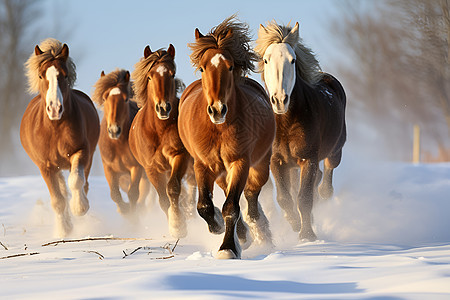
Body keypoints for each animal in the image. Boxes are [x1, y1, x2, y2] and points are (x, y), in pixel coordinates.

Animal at [20, 38, 99, 238]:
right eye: (41, 76)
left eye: (65, 75)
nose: (55, 108)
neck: (54, 129)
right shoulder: (45, 166)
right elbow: (58, 200)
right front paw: (63, 231)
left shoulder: (80, 152)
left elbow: (76, 181)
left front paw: (80, 208)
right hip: (56, 167)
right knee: (63, 191)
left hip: (86, 158)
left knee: (83, 184)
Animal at [92, 68, 149, 216]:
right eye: (105, 98)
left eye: (125, 99)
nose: (114, 130)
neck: (117, 146)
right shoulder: (109, 169)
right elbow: (115, 195)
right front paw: (124, 211)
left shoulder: (136, 168)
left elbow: (133, 194)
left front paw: (133, 217)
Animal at [127, 43, 192, 238]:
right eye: (149, 76)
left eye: (172, 74)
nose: (163, 108)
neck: (159, 131)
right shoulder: (151, 169)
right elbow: (163, 199)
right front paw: (175, 224)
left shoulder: (179, 157)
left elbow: (173, 188)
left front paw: (178, 225)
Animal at [178, 15, 276, 258]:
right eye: (202, 68)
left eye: (230, 67)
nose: (217, 110)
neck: (218, 130)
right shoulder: (202, 165)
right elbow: (204, 206)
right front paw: (219, 227)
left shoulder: (240, 162)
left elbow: (231, 207)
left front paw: (228, 248)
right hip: (221, 172)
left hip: (259, 165)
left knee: (250, 196)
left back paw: (255, 226)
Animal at [255, 21, 346, 241]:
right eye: (266, 60)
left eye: (293, 60)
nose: (280, 100)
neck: (286, 124)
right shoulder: (276, 161)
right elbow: (284, 198)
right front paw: (295, 224)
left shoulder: (308, 159)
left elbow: (304, 198)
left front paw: (307, 236)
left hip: (335, 151)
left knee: (325, 181)